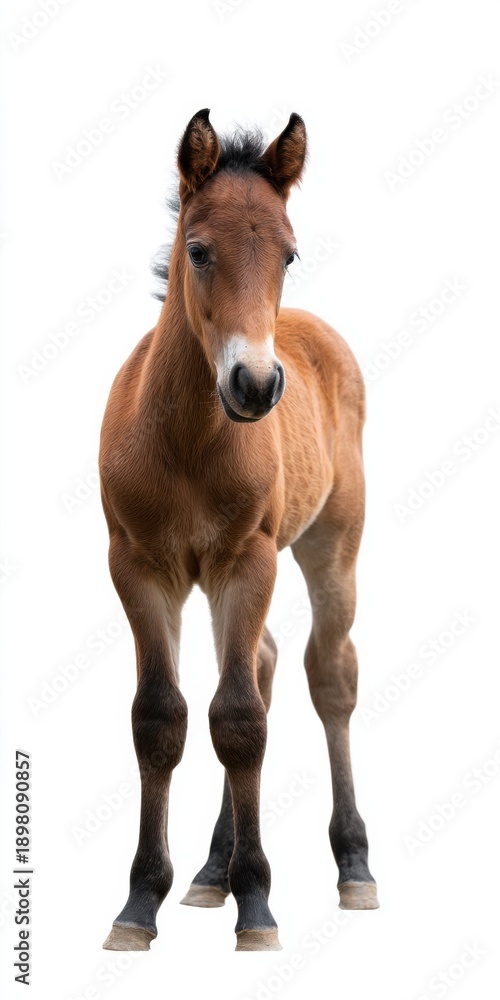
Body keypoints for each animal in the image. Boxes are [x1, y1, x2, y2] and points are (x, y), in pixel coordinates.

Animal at [99, 109, 379, 954]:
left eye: (288, 252)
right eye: (198, 250)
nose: (254, 384)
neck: (189, 439)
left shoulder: (249, 559)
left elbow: (239, 721)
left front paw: (258, 906)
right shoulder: (138, 566)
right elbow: (161, 718)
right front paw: (140, 904)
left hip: (331, 548)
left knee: (328, 674)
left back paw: (353, 865)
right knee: (262, 660)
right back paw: (210, 871)